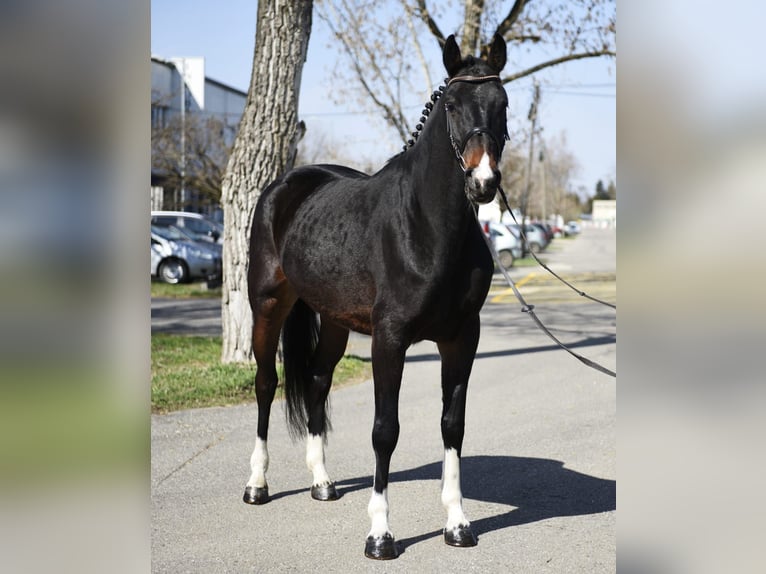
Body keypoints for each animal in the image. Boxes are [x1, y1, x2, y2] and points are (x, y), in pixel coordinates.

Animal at [243, 34, 509, 560]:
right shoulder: (390, 341)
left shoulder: (462, 340)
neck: (427, 229)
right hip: (267, 306)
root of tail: (284, 185)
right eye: (452, 105)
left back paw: (322, 483)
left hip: (334, 321)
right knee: (266, 384)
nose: (484, 182)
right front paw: (381, 535)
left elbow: (452, 425)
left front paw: (458, 524)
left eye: (503, 103)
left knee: (318, 381)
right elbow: (385, 432)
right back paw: (257, 485)